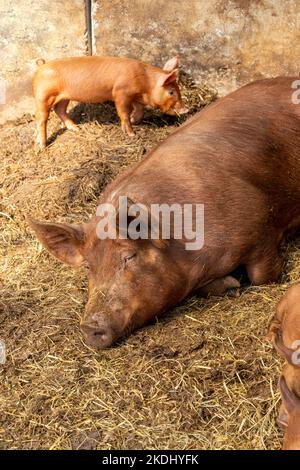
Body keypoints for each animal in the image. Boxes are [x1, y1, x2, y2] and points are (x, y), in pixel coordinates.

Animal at [30, 76, 300, 348]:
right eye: (88, 266)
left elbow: (262, 275)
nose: (90, 327)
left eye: (129, 256)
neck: (182, 246)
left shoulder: (259, 226)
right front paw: (231, 284)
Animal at [32, 56, 188, 150]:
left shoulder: (136, 97)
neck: (146, 83)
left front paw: (134, 121)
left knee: (60, 110)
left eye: (178, 89)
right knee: (41, 118)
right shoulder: (120, 94)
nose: (185, 110)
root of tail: (41, 66)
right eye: (171, 92)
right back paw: (42, 146)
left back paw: (77, 129)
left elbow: (139, 110)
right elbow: (124, 113)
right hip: (43, 96)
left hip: (64, 98)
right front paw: (132, 134)